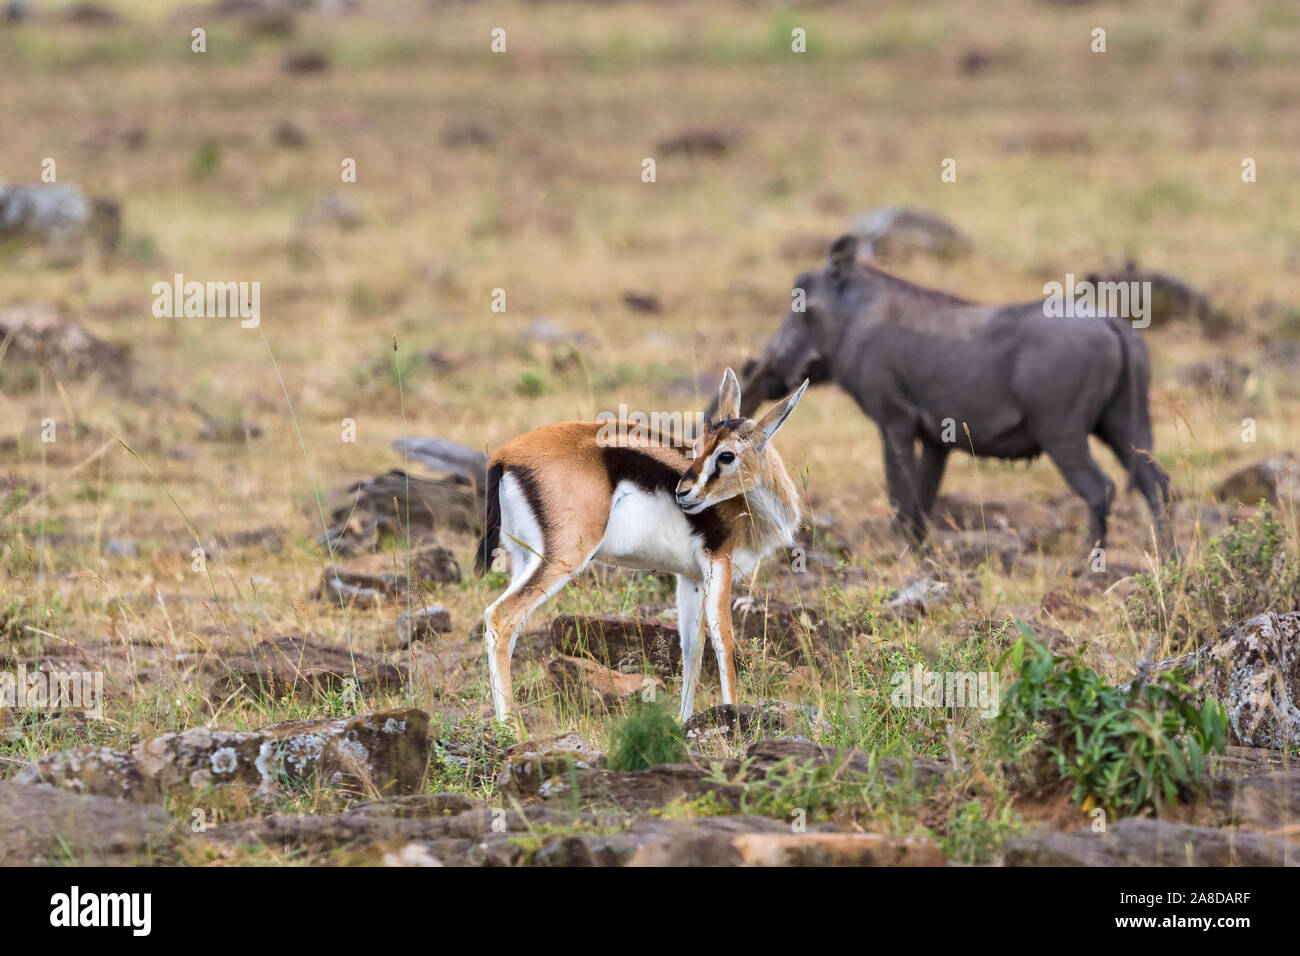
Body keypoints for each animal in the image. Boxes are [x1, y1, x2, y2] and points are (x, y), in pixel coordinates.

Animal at [474, 369, 809, 724]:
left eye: (725, 453)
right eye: (700, 447)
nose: (683, 493)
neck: (746, 505)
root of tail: (504, 456)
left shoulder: (690, 577)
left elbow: (692, 646)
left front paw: (683, 721)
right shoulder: (720, 561)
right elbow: (723, 639)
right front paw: (731, 713)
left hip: (524, 559)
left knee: (507, 629)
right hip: (563, 558)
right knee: (500, 616)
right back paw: (510, 727)